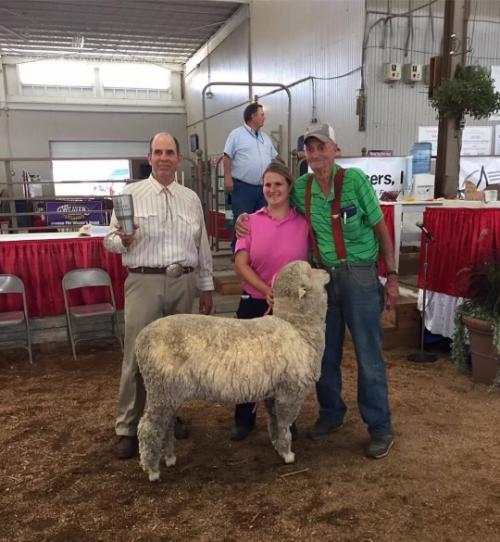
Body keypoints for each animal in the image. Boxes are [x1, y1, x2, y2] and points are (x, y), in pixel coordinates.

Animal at [137, 262, 330, 482]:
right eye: (310, 272)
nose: (326, 270)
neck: (298, 328)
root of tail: (140, 339)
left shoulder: (274, 392)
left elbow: (273, 422)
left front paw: (278, 448)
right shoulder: (289, 392)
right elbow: (283, 425)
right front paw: (288, 454)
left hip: (169, 393)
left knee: (166, 426)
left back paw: (169, 458)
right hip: (161, 388)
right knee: (149, 428)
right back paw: (152, 470)